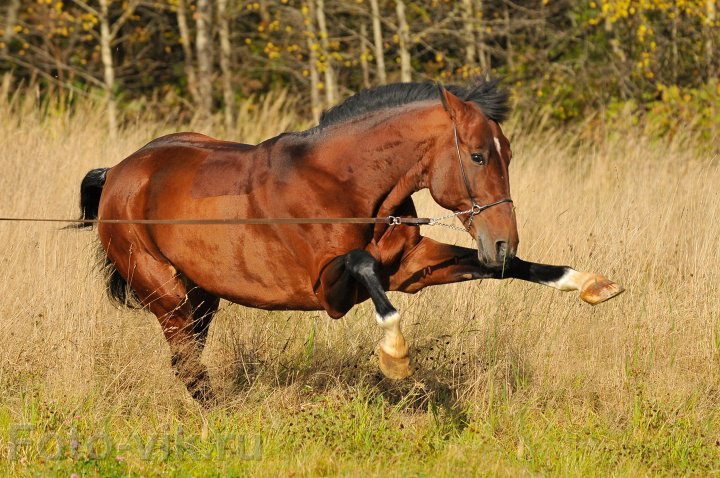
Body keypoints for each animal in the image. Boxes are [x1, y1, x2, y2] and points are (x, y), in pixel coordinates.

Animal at [76, 79, 620, 404]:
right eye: (480, 157)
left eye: (506, 155)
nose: (503, 240)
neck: (344, 186)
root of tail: (120, 172)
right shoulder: (326, 288)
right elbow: (362, 265)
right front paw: (395, 354)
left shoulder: (411, 268)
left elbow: (505, 269)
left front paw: (592, 284)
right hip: (164, 292)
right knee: (186, 363)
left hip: (202, 296)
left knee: (190, 355)